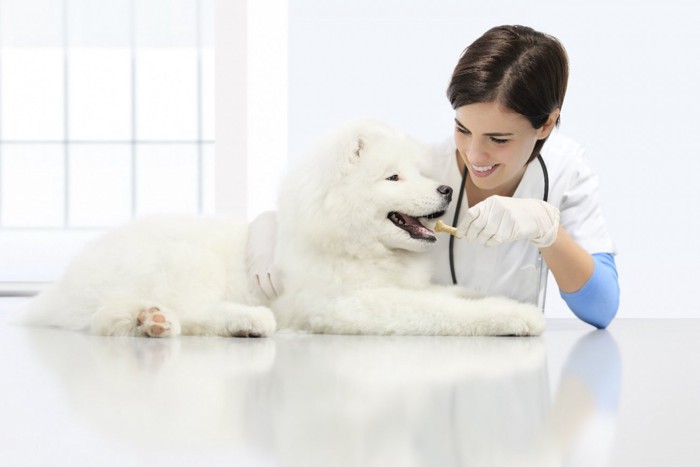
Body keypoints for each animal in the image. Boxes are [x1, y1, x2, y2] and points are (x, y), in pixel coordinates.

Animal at [21, 119, 544, 338]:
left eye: (420, 172)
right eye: (393, 178)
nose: (446, 190)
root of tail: (59, 289)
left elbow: (451, 296)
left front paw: (482, 296)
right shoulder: (351, 304)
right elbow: (441, 312)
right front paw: (515, 316)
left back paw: (150, 320)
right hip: (185, 262)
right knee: (186, 311)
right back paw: (234, 321)